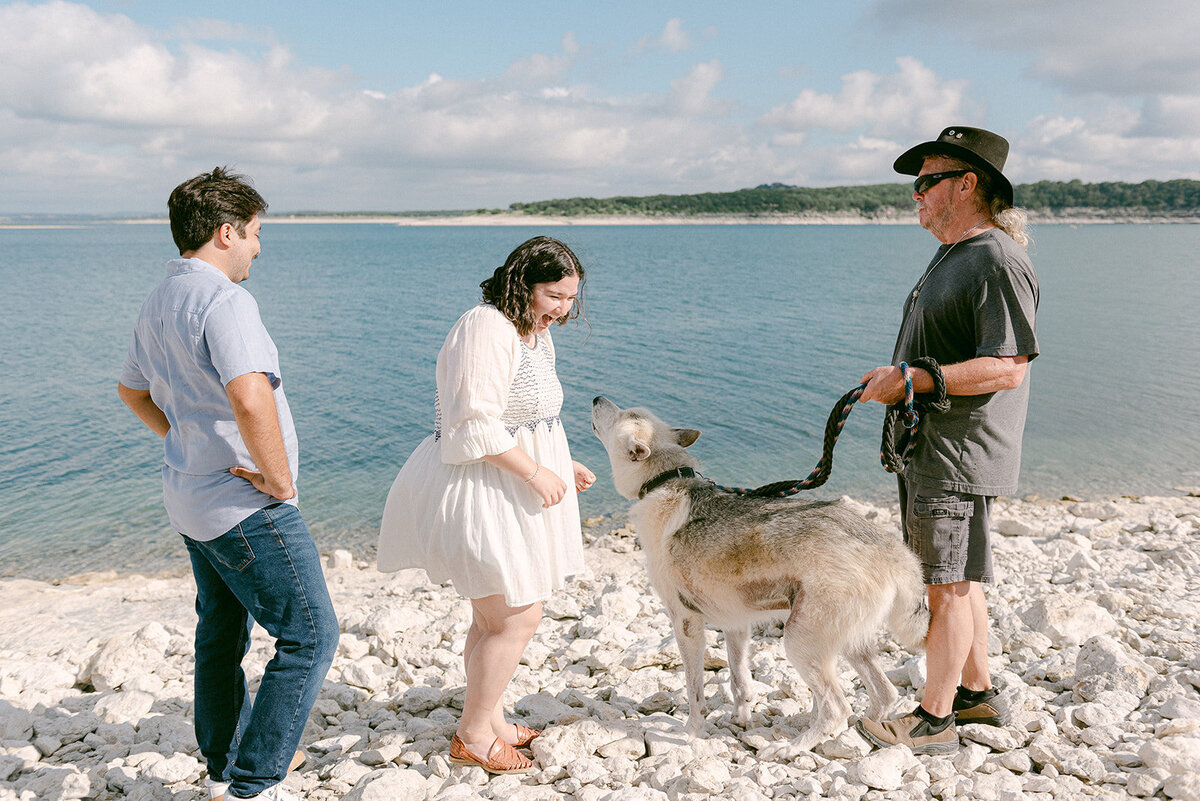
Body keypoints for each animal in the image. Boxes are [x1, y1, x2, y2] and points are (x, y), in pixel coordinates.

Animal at [595, 398, 931, 753]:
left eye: (621, 414)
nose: (596, 399)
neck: (665, 480)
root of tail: (891, 549)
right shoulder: (735, 625)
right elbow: (739, 680)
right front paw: (741, 719)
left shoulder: (686, 624)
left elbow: (695, 692)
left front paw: (692, 734)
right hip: (848, 643)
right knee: (884, 693)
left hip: (800, 642)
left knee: (837, 708)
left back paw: (795, 746)